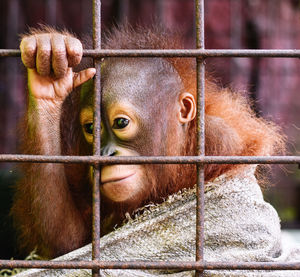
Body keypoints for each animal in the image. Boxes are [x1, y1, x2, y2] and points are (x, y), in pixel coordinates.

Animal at [10, 24, 284, 258]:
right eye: (91, 128)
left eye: (121, 123)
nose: (106, 154)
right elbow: (69, 243)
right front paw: (48, 69)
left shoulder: (219, 141)